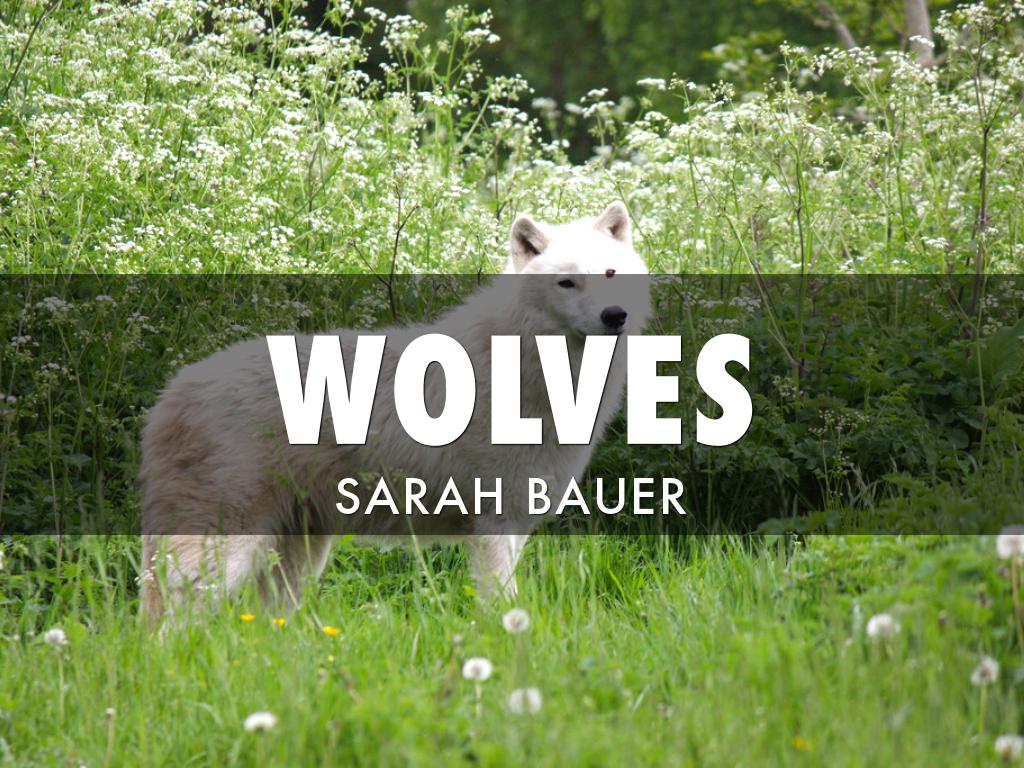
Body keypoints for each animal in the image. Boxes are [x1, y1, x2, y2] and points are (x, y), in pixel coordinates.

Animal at [139, 201, 650, 623]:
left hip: (299, 555)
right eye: (567, 282)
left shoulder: (517, 523)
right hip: (225, 550)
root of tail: (171, 393)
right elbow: (502, 605)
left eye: (610, 273)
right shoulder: (493, 524)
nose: (615, 315)